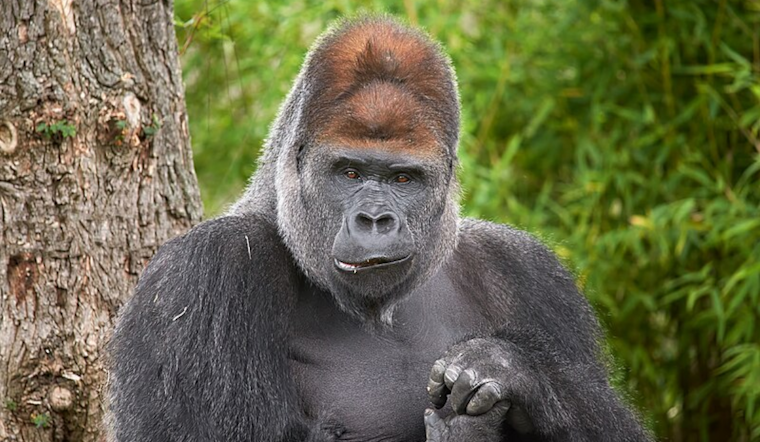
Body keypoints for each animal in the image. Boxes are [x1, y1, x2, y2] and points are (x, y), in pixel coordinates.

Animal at [109, 15, 652, 442]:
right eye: (349, 173)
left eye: (403, 178)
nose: (374, 219)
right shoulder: (206, 271)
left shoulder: (529, 274)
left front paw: (509, 369)